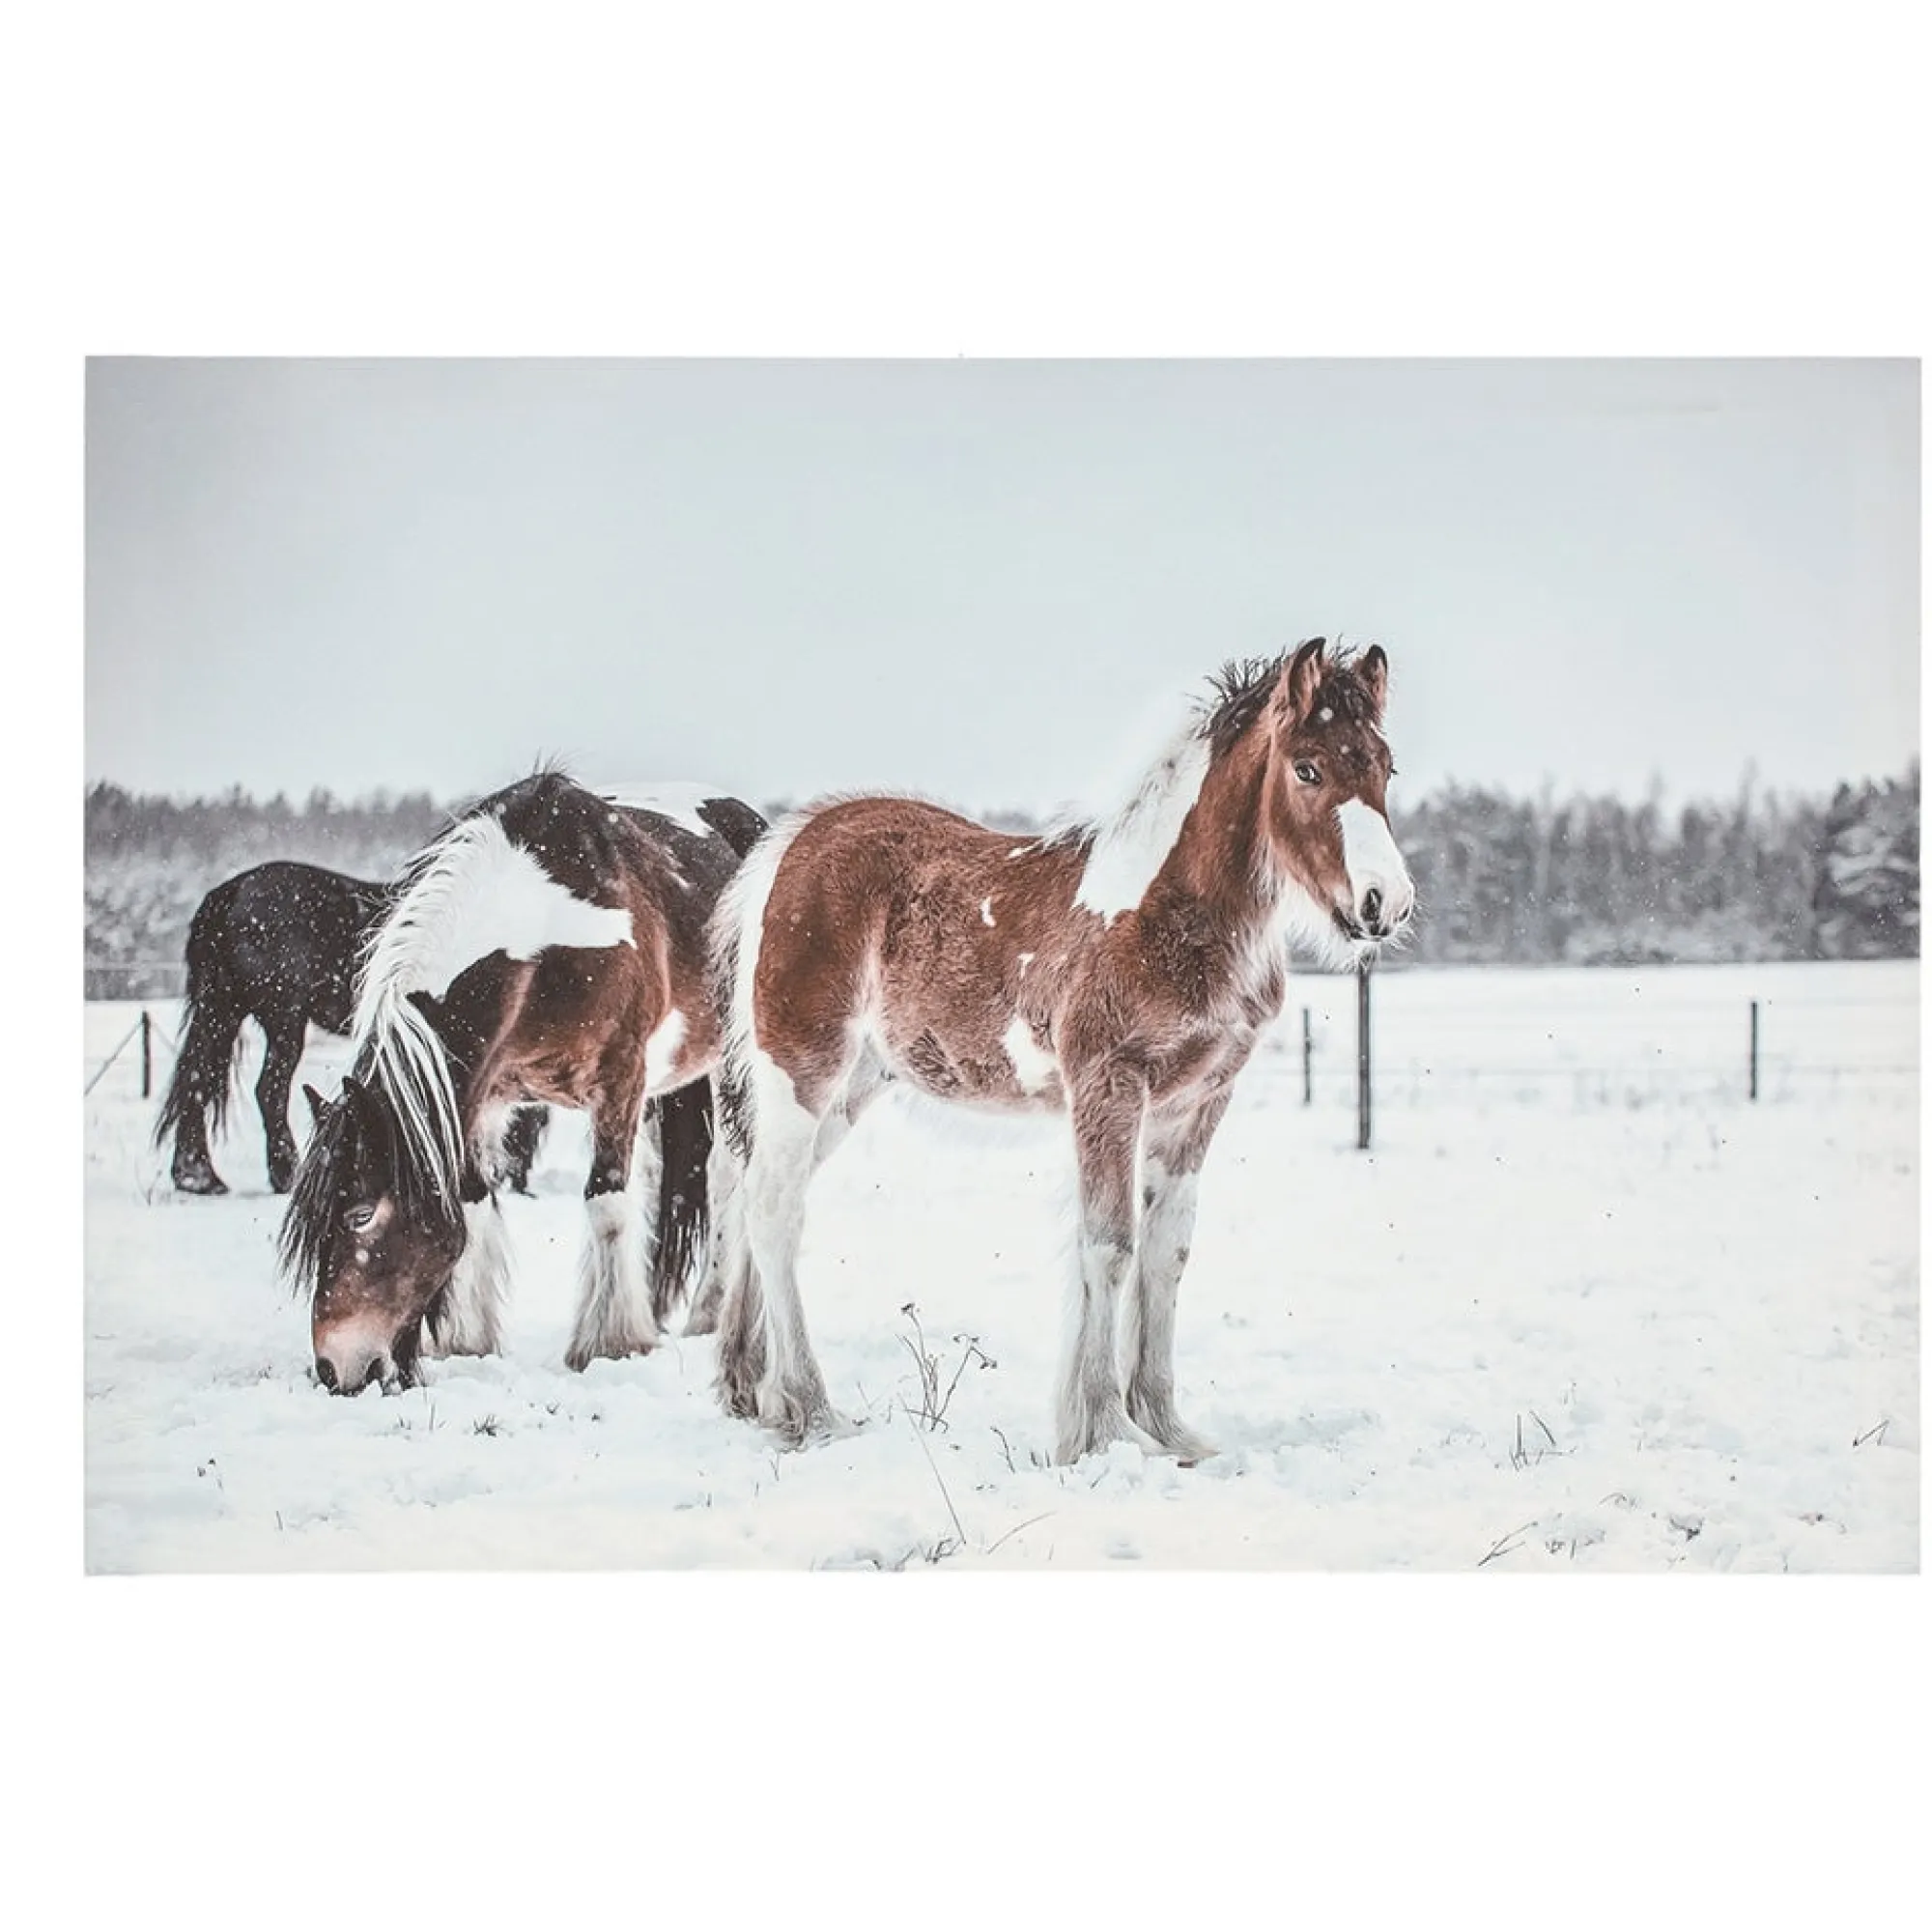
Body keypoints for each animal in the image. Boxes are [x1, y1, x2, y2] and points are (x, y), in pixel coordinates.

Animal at [155, 859, 549, 1198]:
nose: (513, 1180)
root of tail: (232, 891)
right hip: (283, 1019)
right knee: (269, 1090)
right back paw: (287, 1174)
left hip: (221, 1015)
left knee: (197, 1083)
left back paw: (198, 1177)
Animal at [278, 771, 766, 1395]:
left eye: (360, 1214)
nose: (333, 1369)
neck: (547, 936)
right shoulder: (487, 1097)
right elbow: (474, 1203)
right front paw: (469, 1340)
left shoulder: (619, 1081)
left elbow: (607, 1204)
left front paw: (608, 1344)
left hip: (725, 1065)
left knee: (724, 1175)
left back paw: (707, 1311)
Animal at [709, 637, 1414, 1463]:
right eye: (1306, 768)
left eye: (1385, 766)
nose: (1384, 904)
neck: (1166, 911)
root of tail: (789, 845)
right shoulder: (1108, 1085)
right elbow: (1109, 1245)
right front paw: (1107, 1432)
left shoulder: (1196, 1102)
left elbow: (1166, 1255)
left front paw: (1167, 1429)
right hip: (801, 1068)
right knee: (774, 1207)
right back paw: (813, 1409)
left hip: (853, 1085)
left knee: (754, 1193)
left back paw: (753, 1394)